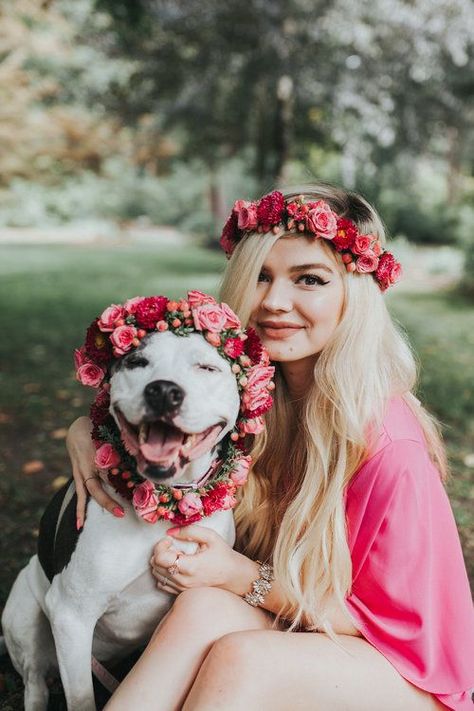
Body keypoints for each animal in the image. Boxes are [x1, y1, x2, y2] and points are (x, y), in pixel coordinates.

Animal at [0, 330, 241, 711]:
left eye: (206, 367)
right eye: (136, 361)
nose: (163, 390)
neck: (163, 506)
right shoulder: (70, 614)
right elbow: (81, 699)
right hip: (25, 611)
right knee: (35, 683)